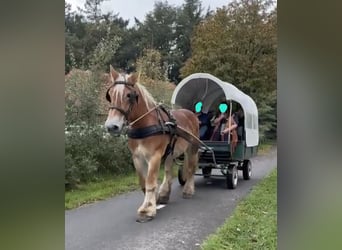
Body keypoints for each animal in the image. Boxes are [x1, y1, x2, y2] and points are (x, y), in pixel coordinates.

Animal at [105, 66, 199, 223]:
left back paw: (188, 190)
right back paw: (164, 194)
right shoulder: (137, 157)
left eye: (129, 95)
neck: (145, 125)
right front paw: (153, 202)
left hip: (192, 147)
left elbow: (150, 181)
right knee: (168, 171)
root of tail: (190, 113)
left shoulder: (154, 156)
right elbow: (143, 182)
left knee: (191, 168)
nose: (112, 126)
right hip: (170, 151)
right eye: (110, 95)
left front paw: (147, 210)